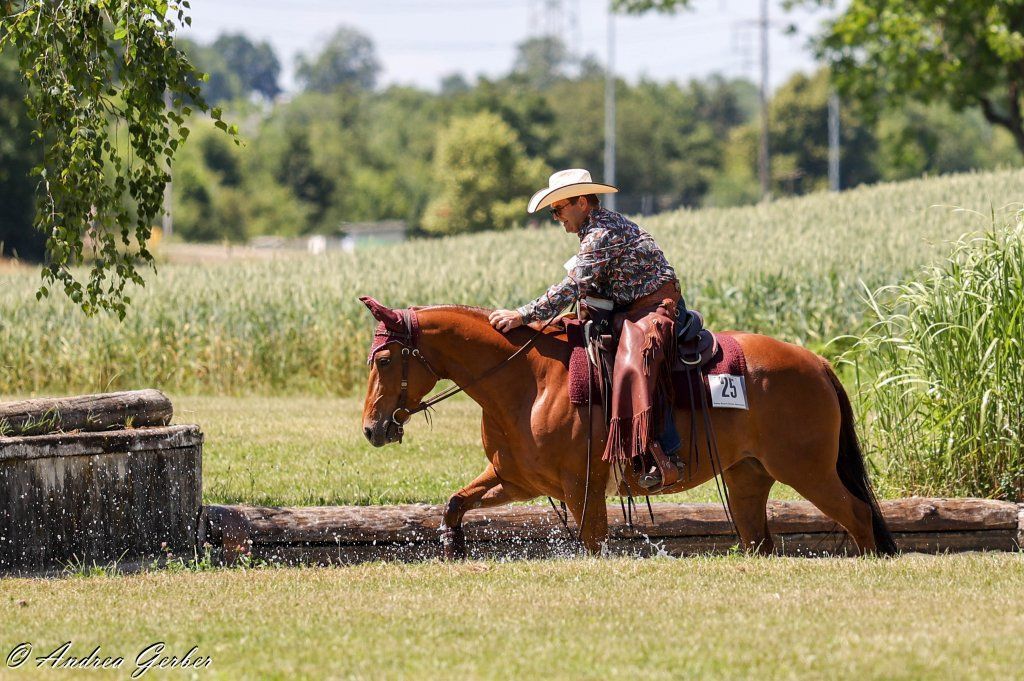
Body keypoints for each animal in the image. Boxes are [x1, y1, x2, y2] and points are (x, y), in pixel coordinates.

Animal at [359, 297, 898, 558]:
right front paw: (453, 546)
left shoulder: (582, 487)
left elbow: (592, 541)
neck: (528, 381)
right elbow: (455, 502)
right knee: (758, 539)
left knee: (857, 514)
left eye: (384, 360)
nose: (371, 429)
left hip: (807, 470)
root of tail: (818, 363)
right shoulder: (516, 480)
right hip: (749, 477)